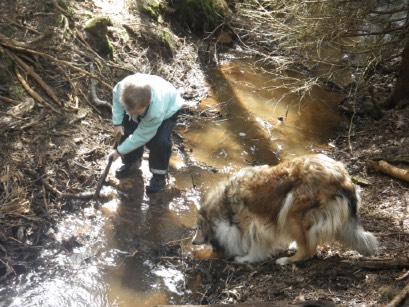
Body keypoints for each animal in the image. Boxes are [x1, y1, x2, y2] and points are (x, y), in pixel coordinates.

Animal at [193, 155, 378, 266]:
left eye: (199, 227)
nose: (193, 242)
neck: (224, 205)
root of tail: (343, 180)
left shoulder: (253, 225)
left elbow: (254, 246)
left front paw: (246, 259)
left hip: (291, 211)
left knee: (308, 250)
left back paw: (287, 260)